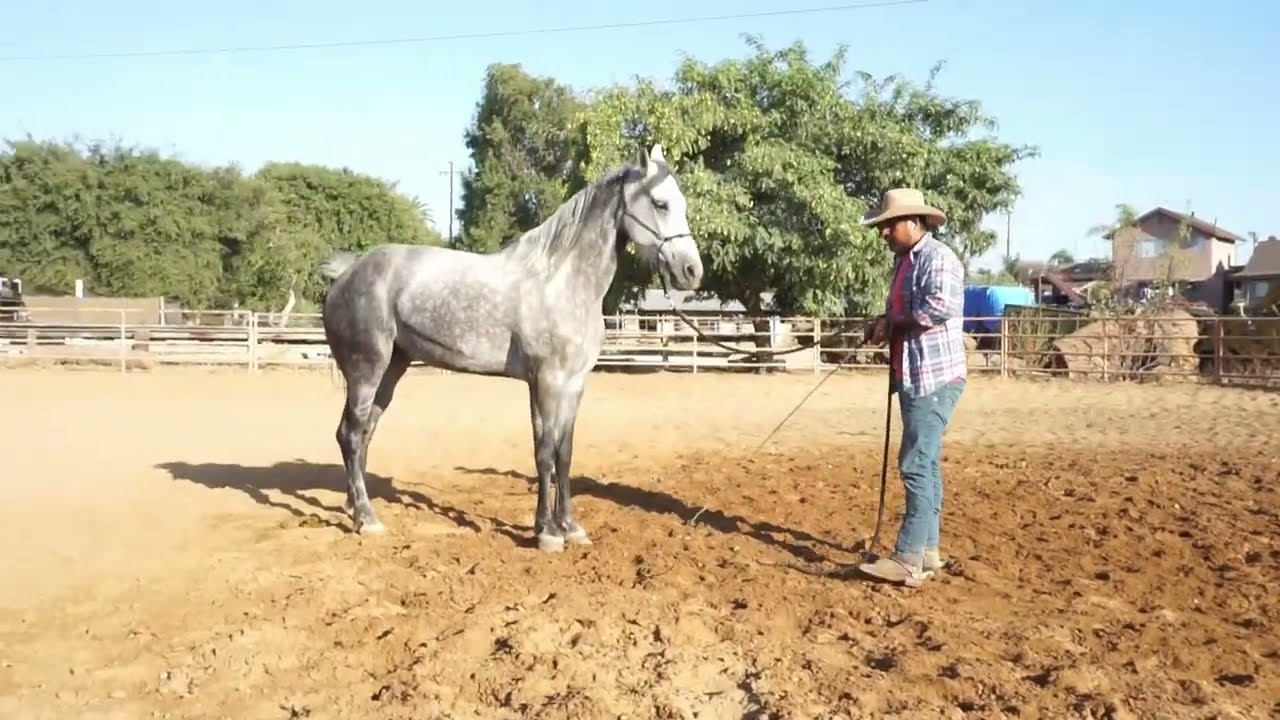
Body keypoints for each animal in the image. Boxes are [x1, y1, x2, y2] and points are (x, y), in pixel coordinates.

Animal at [315, 144, 703, 552]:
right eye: (661, 203)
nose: (692, 271)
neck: (561, 281)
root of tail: (347, 271)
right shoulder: (546, 381)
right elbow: (545, 452)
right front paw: (548, 533)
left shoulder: (572, 384)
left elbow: (564, 453)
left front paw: (570, 527)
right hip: (367, 370)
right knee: (350, 434)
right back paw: (367, 520)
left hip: (392, 369)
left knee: (363, 434)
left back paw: (353, 508)